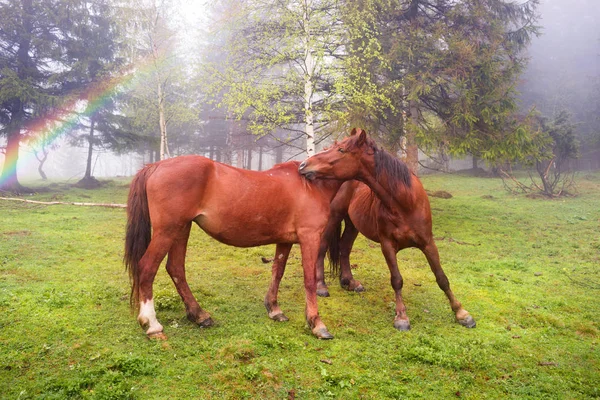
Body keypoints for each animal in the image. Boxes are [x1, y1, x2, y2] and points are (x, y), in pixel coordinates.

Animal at [124, 156, 342, 340]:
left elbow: (277, 272)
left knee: (176, 269)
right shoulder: (310, 237)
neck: (313, 186)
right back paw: (152, 325)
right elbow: (309, 280)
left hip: (181, 229)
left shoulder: (285, 240)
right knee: (147, 268)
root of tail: (155, 166)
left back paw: (199, 315)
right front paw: (317, 324)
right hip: (167, 231)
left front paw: (274, 310)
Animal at [298, 129, 476, 332]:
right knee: (322, 247)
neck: (405, 202)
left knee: (344, 248)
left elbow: (442, 277)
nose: (303, 165)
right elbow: (397, 280)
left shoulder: (428, 243)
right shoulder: (387, 245)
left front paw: (462, 313)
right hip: (334, 218)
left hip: (353, 224)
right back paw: (321, 286)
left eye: (341, 149)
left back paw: (350, 282)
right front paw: (401, 317)